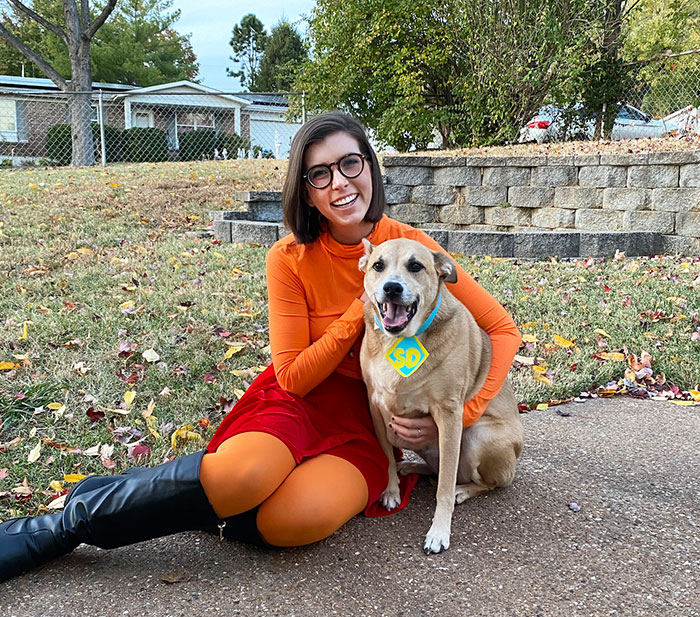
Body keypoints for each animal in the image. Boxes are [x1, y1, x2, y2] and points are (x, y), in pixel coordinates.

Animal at [358, 237, 524, 552]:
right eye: (378, 265)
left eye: (415, 266)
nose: (392, 287)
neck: (400, 341)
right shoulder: (375, 406)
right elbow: (387, 457)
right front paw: (391, 490)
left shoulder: (448, 415)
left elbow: (444, 487)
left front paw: (439, 531)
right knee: (435, 470)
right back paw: (413, 466)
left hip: (479, 437)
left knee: (485, 482)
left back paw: (463, 490)